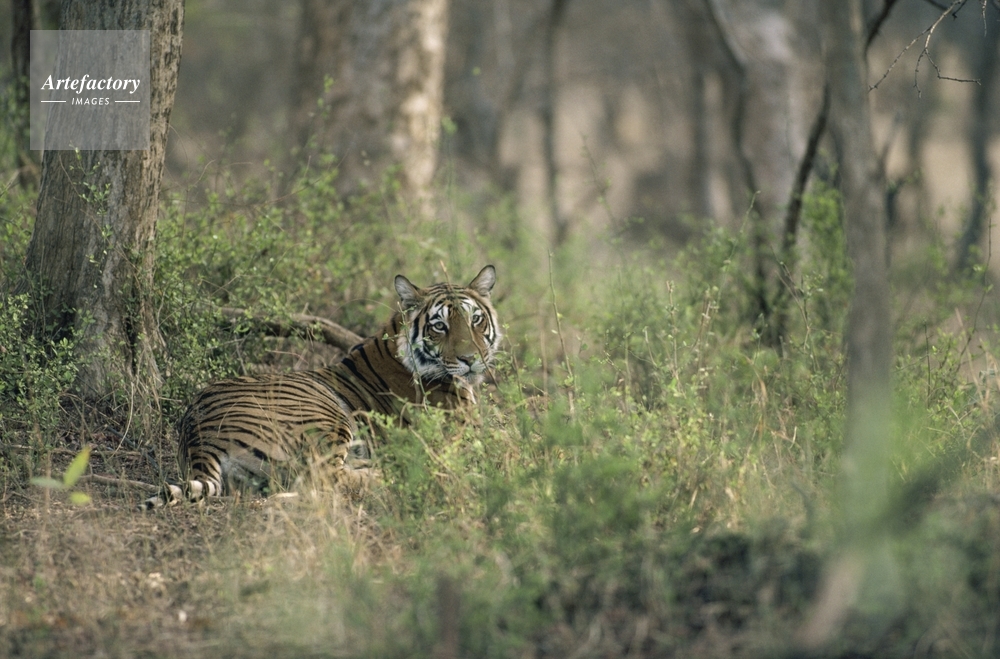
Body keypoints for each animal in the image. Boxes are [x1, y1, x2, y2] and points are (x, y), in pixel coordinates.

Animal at [143, 266, 500, 509]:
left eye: (475, 319)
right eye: (439, 325)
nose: (471, 359)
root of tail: (196, 433)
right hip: (326, 415)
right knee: (327, 479)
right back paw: (390, 471)